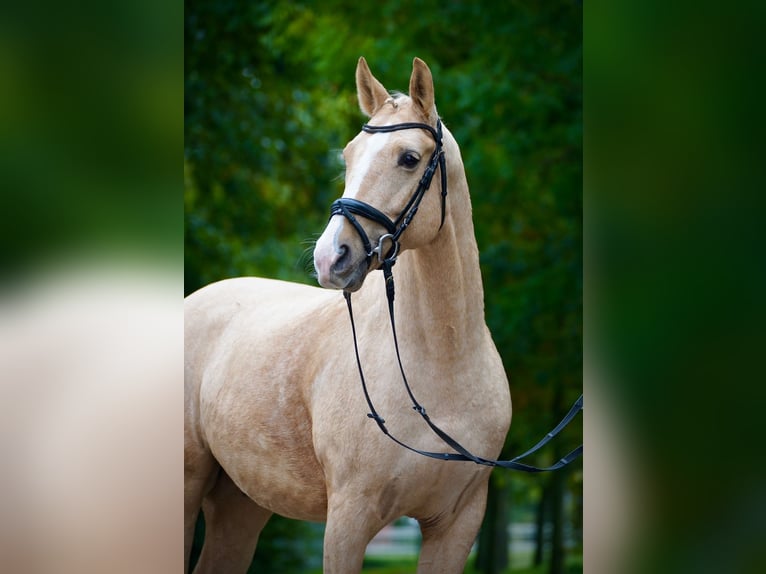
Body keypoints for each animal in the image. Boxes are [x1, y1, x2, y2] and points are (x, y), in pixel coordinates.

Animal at [184, 56, 512, 573]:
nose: (330, 257)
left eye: (409, 158)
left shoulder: (457, 526)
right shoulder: (348, 518)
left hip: (240, 504)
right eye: (349, 155)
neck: (443, 365)